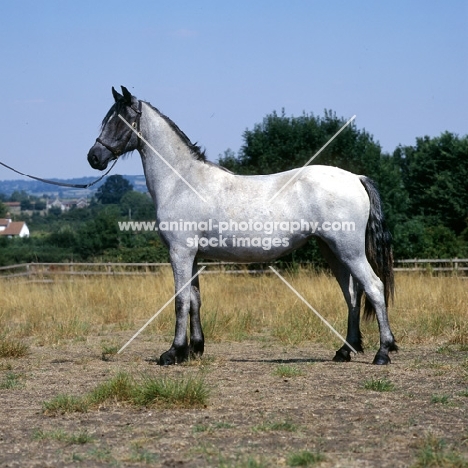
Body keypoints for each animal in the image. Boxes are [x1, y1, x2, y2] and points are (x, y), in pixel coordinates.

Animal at [86, 87, 396, 366]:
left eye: (119, 120)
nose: (94, 157)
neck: (181, 182)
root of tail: (356, 178)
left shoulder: (180, 253)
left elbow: (180, 301)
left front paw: (173, 353)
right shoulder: (193, 256)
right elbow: (195, 300)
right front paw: (194, 349)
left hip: (349, 250)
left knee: (374, 287)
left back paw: (383, 352)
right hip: (332, 251)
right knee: (352, 295)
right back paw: (345, 350)